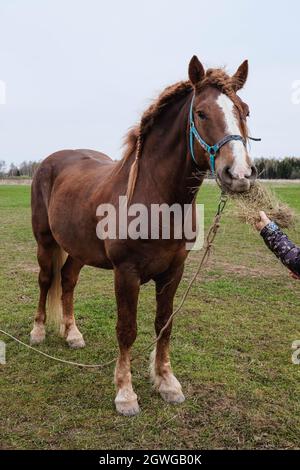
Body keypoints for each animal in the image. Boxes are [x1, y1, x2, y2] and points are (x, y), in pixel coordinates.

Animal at [29, 57, 255, 414]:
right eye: (201, 113)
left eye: (244, 111)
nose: (240, 174)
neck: (155, 197)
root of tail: (50, 161)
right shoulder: (126, 273)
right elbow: (127, 330)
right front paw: (125, 393)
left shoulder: (174, 271)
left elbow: (164, 324)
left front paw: (167, 382)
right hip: (45, 241)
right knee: (45, 279)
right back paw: (38, 332)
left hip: (78, 250)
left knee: (67, 281)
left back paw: (72, 334)